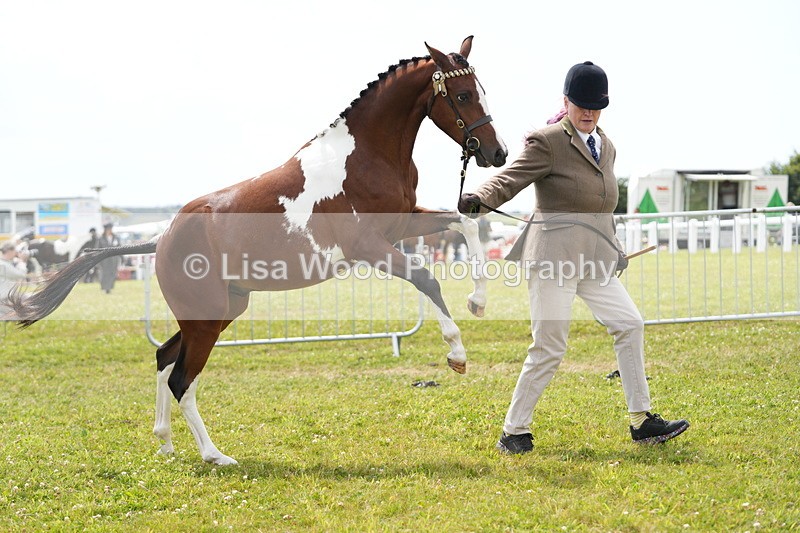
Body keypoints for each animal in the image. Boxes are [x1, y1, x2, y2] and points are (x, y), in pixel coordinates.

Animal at [5, 36, 508, 465]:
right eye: (463, 95)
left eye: (482, 90)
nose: (496, 153)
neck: (365, 156)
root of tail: (161, 239)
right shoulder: (369, 245)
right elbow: (426, 276)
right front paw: (456, 354)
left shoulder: (403, 224)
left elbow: (467, 222)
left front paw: (478, 301)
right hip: (207, 318)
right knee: (181, 378)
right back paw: (214, 455)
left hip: (220, 311)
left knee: (164, 359)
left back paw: (166, 442)